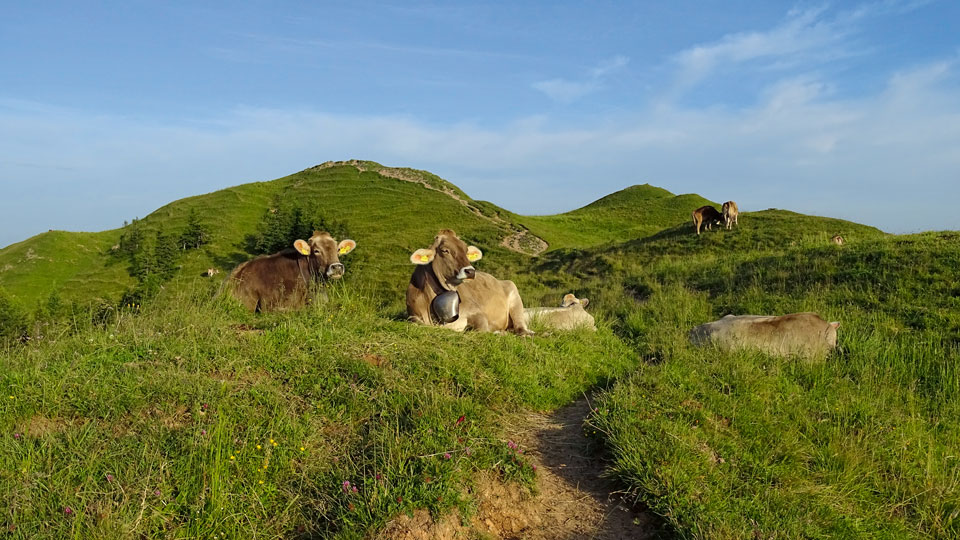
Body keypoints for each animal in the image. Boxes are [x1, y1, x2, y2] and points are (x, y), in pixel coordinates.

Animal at [404, 229, 532, 338]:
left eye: (466, 251)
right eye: (445, 250)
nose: (470, 271)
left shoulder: (476, 311)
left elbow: (481, 329)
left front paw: (497, 332)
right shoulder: (413, 315)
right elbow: (415, 322)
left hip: (515, 296)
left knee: (520, 327)